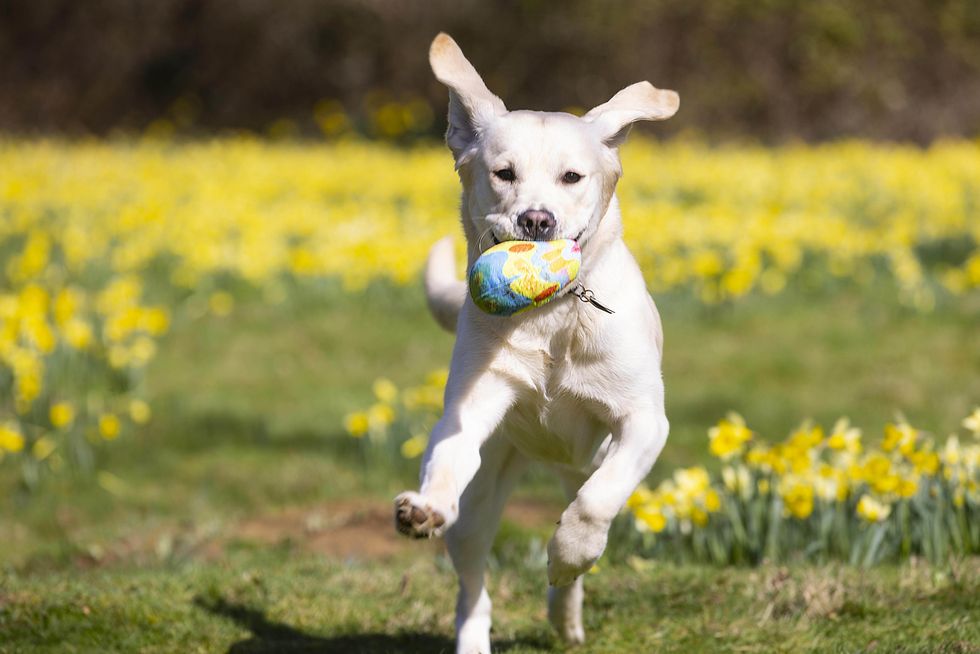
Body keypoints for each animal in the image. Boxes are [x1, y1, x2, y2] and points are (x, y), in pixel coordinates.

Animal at [394, 33, 676, 652]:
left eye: (572, 177)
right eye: (504, 173)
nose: (537, 220)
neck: (551, 316)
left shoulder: (645, 421)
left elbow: (596, 503)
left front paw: (568, 555)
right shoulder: (472, 405)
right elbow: (448, 454)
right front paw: (423, 506)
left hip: (585, 463)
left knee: (584, 501)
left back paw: (566, 610)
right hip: (483, 499)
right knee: (472, 585)